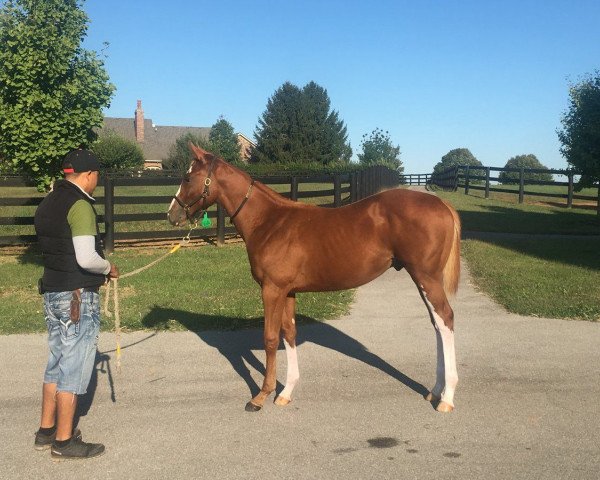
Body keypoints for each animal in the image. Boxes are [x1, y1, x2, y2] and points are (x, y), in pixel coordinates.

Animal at [166, 145, 462, 412]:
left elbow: (270, 338)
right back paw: (435, 390)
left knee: (445, 319)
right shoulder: (287, 291)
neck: (269, 222)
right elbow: (289, 333)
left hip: (426, 277)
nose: (171, 214)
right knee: (437, 324)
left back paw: (446, 398)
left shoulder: (271, 290)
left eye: (187, 178)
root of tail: (443, 204)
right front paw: (286, 393)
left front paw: (261, 396)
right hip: (423, 279)